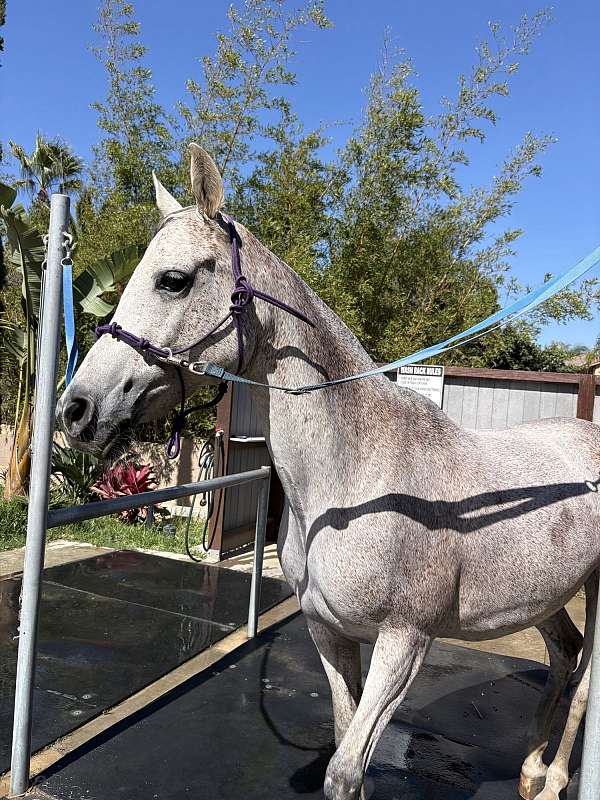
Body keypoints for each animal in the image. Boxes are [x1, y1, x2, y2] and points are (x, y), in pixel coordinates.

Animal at [57, 144, 599, 800]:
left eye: (174, 280)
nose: (76, 409)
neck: (354, 483)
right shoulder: (328, 631)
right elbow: (345, 743)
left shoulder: (404, 643)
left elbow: (344, 770)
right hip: (546, 597)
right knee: (565, 654)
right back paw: (530, 769)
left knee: (585, 682)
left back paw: (553, 777)